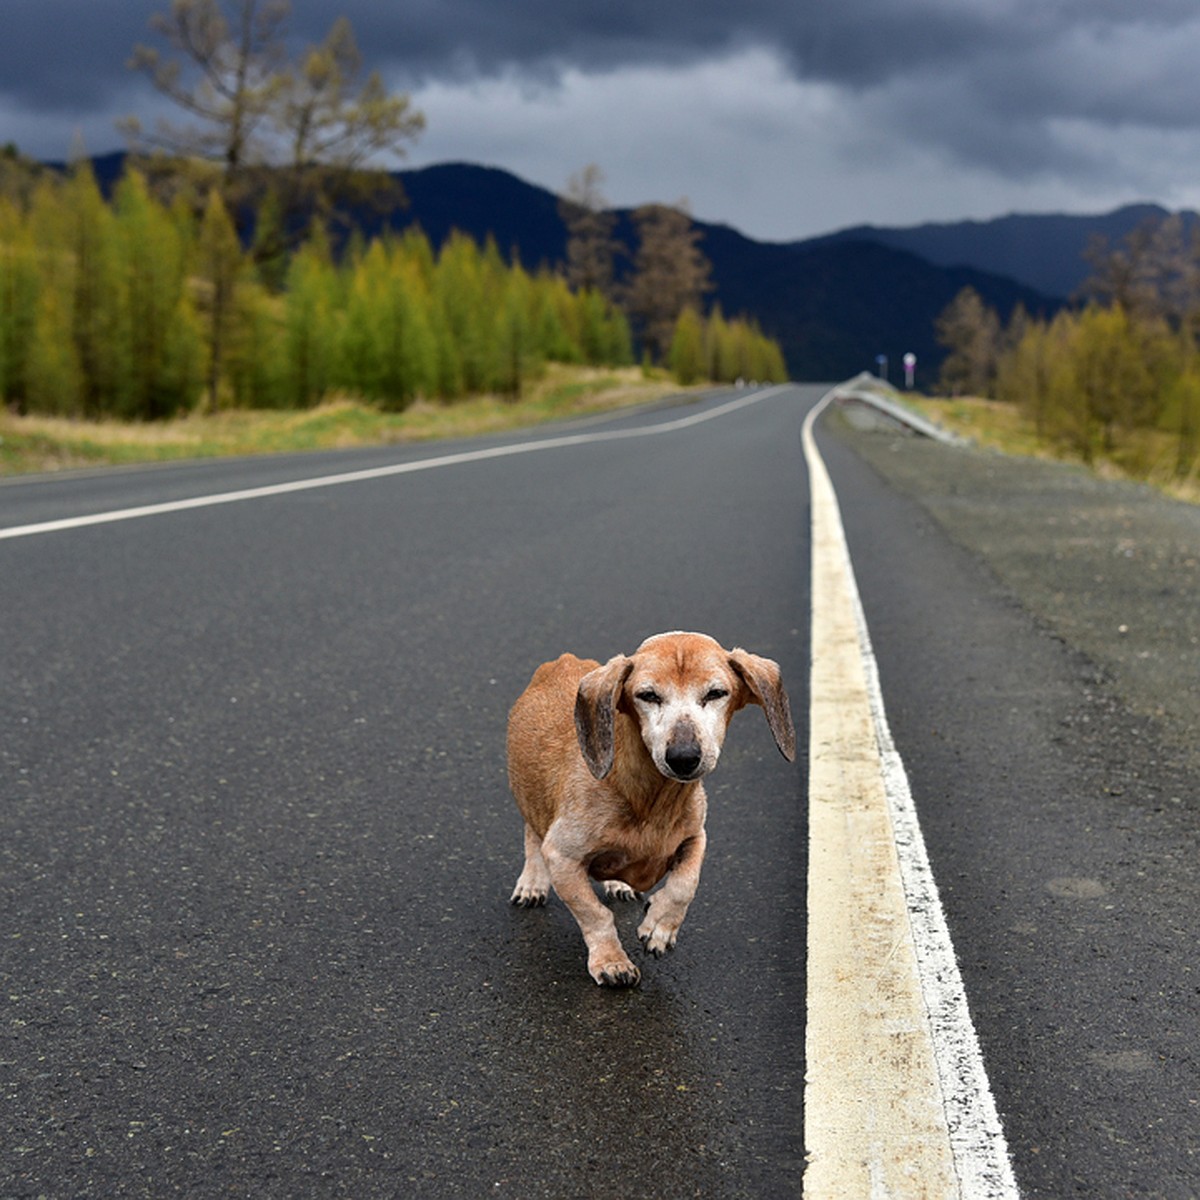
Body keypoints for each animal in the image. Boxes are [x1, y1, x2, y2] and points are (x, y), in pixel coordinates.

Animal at [506, 628, 796, 984]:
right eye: (648, 695)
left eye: (716, 693)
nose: (684, 757)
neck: (648, 800)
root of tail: (564, 660)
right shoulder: (561, 856)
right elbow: (595, 915)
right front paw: (612, 961)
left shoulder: (696, 837)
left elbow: (685, 884)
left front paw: (660, 926)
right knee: (532, 835)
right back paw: (532, 883)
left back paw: (616, 883)